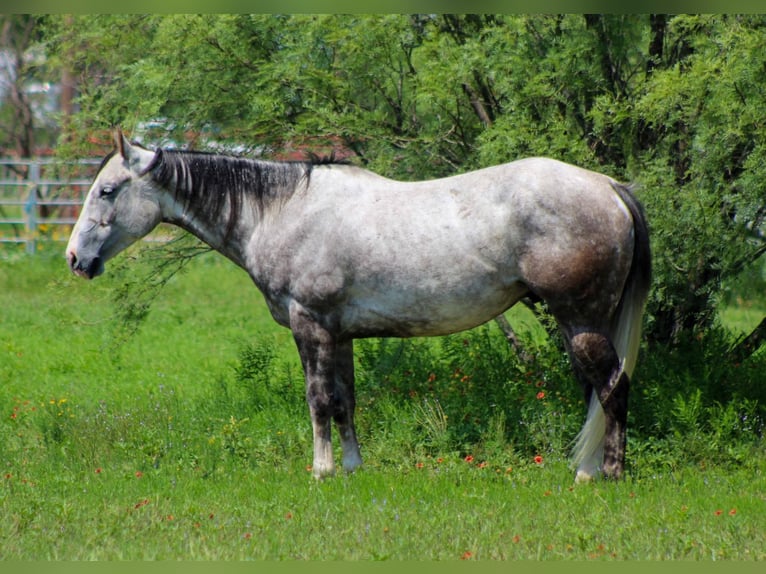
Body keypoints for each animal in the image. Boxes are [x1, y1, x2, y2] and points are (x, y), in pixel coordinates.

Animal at [66, 129, 651, 482]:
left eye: (108, 190)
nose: (75, 258)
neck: (282, 212)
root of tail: (609, 187)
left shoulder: (310, 327)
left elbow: (318, 400)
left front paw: (321, 471)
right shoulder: (339, 335)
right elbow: (346, 401)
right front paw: (351, 467)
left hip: (579, 319)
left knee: (611, 387)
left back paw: (603, 475)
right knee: (597, 390)